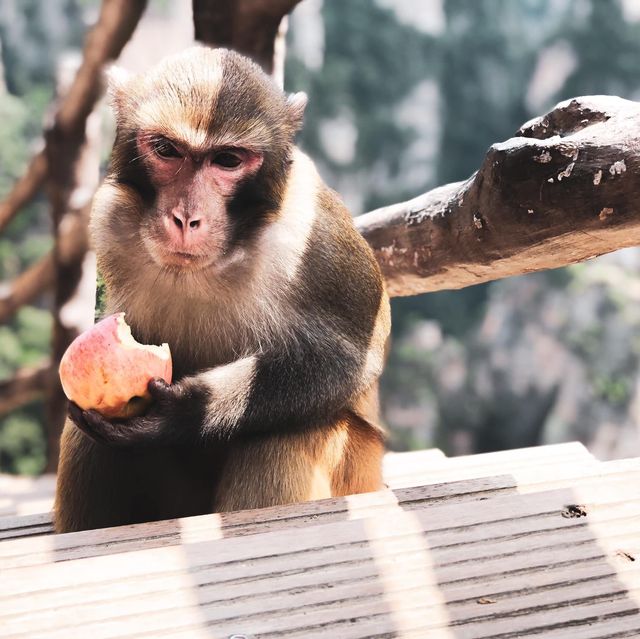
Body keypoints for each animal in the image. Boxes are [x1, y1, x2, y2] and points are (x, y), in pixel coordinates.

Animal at [52, 46, 390, 536]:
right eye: (167, 150)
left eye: (227, 160)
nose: (186, 218)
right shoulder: (108, 222)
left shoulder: (313, 230)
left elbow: (351, 358)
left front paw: (186, 412)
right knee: (88, 433)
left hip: (360, 469)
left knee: (293, 429)